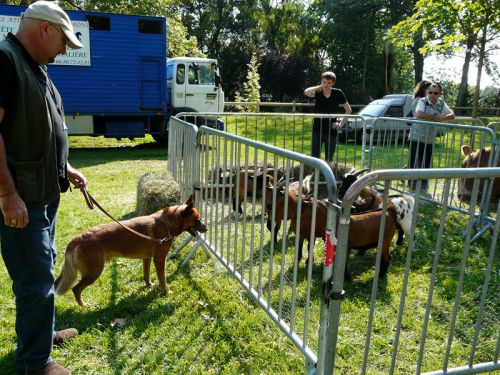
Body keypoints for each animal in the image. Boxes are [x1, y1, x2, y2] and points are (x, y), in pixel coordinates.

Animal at [56, 195, 207, 306]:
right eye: (198, 220)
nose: (207, 228)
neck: (167, 223)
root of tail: (79, 238)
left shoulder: (147, 258)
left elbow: (146, 275)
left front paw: (149, 285)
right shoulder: (159, 260)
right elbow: (162, 279)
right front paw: (166, 291)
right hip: (94, 273)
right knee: (76, 289)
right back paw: (84, 305)